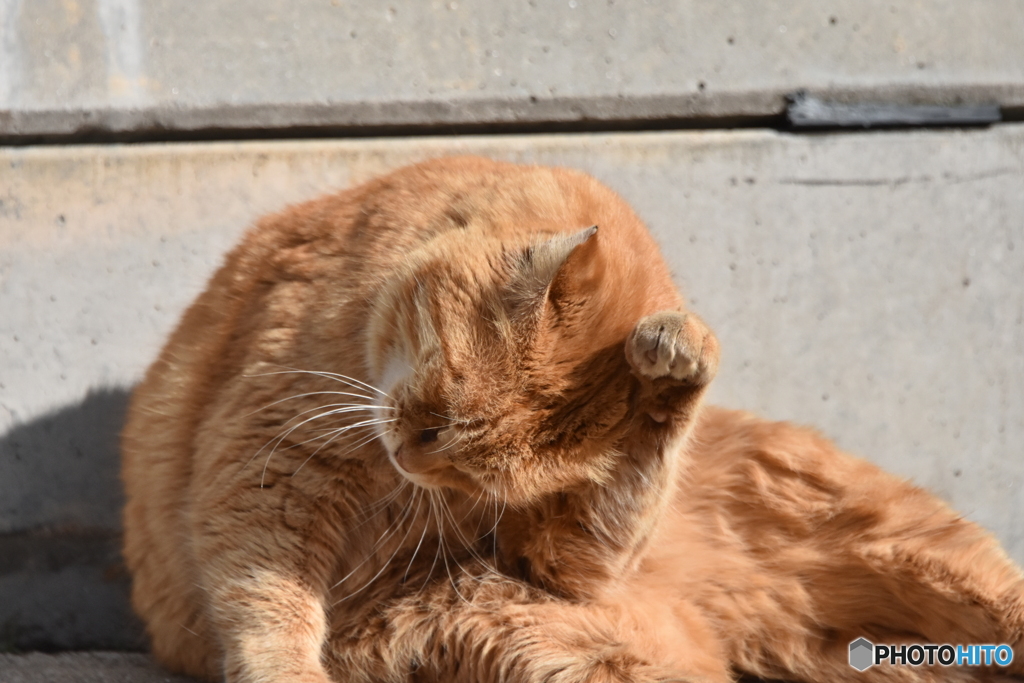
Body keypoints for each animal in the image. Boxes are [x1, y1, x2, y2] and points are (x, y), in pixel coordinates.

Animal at [121, 156, 1024, 683]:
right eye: (439, 418)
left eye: (475, 467)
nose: (412, 452)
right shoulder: (275, 462)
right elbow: (268, 597)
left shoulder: (567, 561)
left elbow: (628, 478)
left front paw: (676, 366)